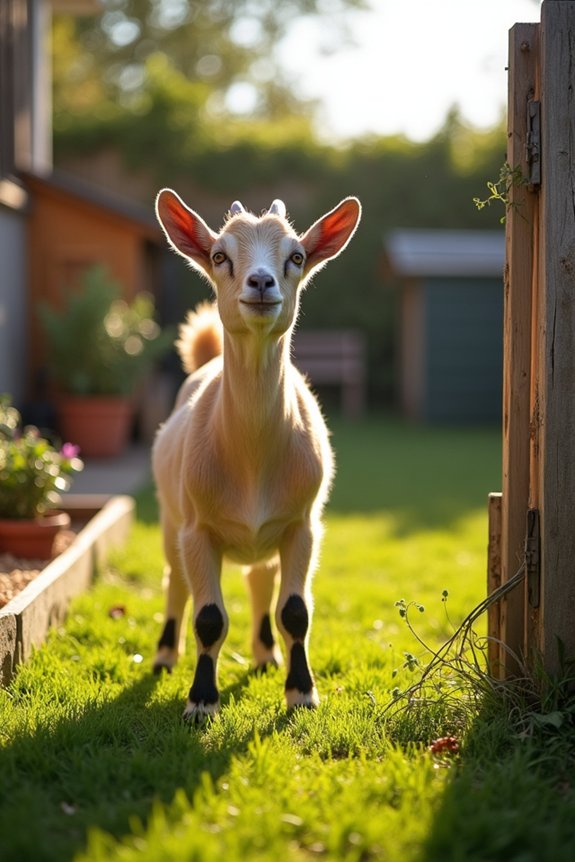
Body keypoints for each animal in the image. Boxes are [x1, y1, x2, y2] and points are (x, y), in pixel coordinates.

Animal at [153, 191, 361, 721]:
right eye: (219, 255)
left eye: (297, 256)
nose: (262, 282)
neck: (251, 460)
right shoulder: (197, 528)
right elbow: (208, 617)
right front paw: (201, 701)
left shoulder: (302, 525)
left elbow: (295, 611)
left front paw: (302, 692)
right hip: (170, 518)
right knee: (176, 582)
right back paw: (163, 656)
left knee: (260, 581)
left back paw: (266, 654)